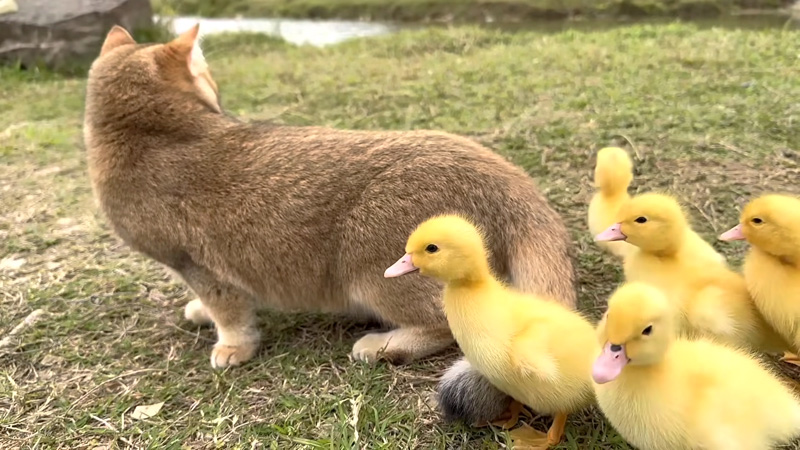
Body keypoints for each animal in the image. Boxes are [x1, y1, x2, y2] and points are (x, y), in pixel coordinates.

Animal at [83, 23, 576, 426]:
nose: (217, 93)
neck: (150, 135)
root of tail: (509, 179)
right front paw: (203, 313)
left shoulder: (198, 264)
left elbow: (229, 312)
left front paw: (232, 345)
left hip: (371, 271)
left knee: (448, 323)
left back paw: (383, 345)